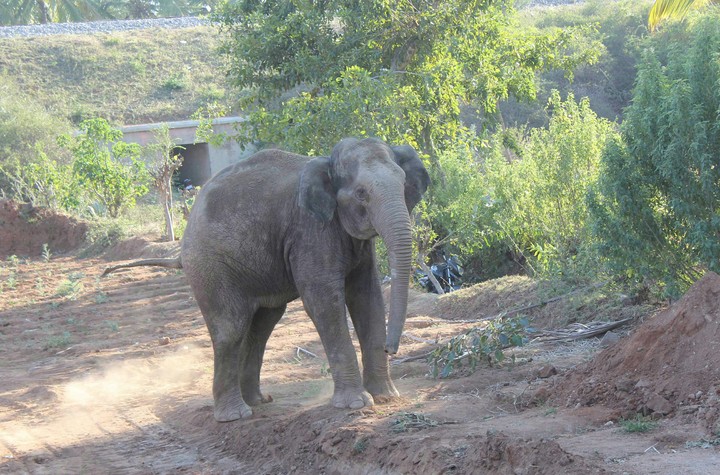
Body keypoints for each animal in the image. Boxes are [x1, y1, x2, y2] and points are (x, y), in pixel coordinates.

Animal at [103, 137, 430, 422]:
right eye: (362, 193)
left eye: (403, 184)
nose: (391, 349)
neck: (326, 163)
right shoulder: (310, 232)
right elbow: (324, 302)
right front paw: (356, 405)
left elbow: (367, 299)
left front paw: (386, 397)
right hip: (209, 266)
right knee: (230, 328)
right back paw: (235, 415)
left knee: (262, 325)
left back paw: (259, 401)